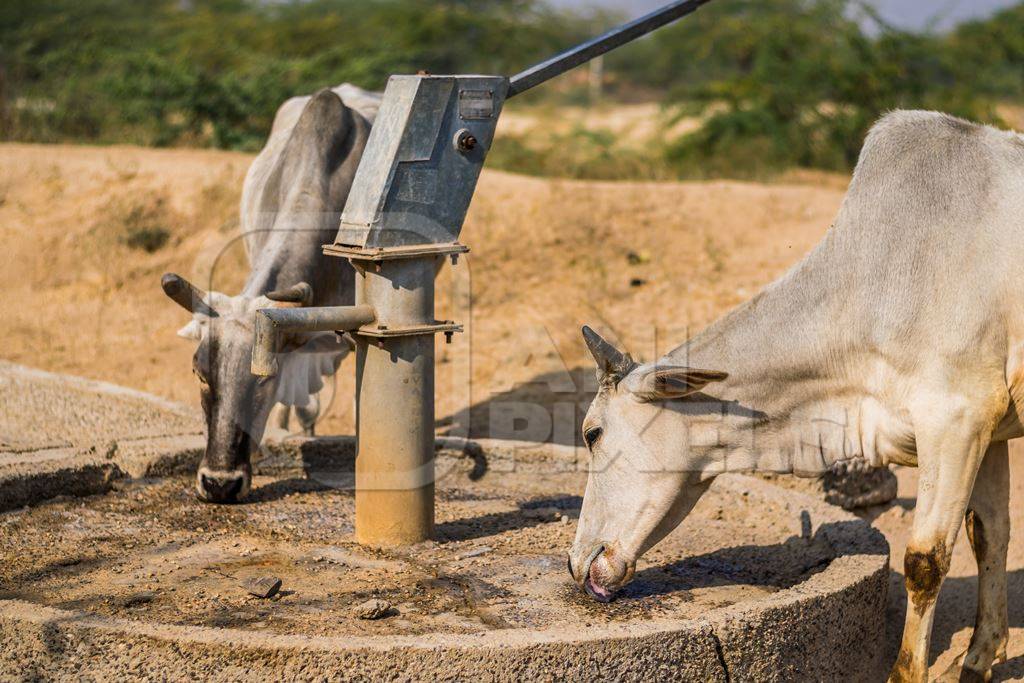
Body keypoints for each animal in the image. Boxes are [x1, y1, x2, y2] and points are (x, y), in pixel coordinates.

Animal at [569, 109, 1024, 679]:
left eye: (593, 433)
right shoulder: (989, 429)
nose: (575, 563)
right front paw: (981, 657)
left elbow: (925, 560)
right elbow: (990, 534)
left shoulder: (956, 417)